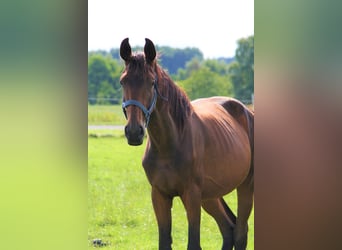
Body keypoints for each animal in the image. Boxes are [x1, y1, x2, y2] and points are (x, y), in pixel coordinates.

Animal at [119, 37, 252, 250]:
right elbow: (164, 242)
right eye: (123, 81)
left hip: (245, 186)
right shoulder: (160, 195)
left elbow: (194, 243)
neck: (169, 144)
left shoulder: (191, 195)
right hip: (211, 196)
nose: (133, 132)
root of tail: (246, 111)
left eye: (152, 82)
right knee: (228, 228)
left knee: (240, 232)